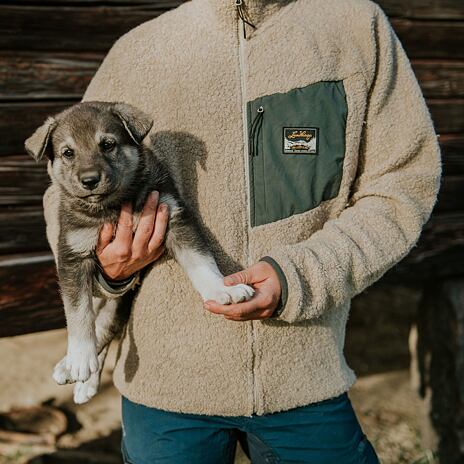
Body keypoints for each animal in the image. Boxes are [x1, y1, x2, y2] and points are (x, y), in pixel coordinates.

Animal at [24, 101, 254, 402]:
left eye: (108, 144)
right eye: (67, 153)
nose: (89, 180)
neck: (112, 205)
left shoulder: (176, 218)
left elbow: (202, 262)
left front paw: (220, 290)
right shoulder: (72, 255)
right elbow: (77, 312)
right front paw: (80, 358)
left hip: (118, 302)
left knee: (105, 325)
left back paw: (78, 376)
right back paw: (75, 367)